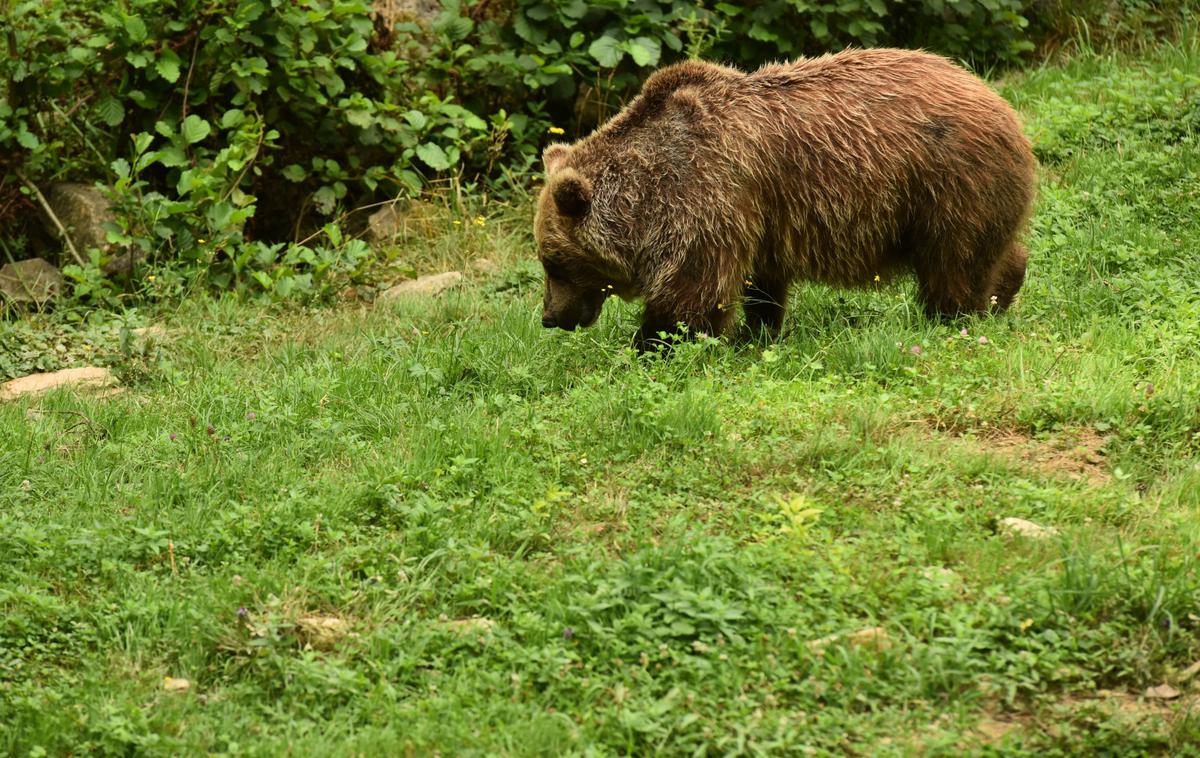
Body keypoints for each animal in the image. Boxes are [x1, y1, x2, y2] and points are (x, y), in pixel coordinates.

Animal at [537, 48, 1041, 350]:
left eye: (554, 263)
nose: (549, 317)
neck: (647, 193)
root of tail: (998, 99)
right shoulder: (757, 219)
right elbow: (761, 286)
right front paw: (754, 334)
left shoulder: (708, 198)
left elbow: (692, 291)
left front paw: (654, 345)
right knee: (994, 250)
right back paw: (1002, 293)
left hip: (946, 183)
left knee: (953, 262)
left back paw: (949, 316)